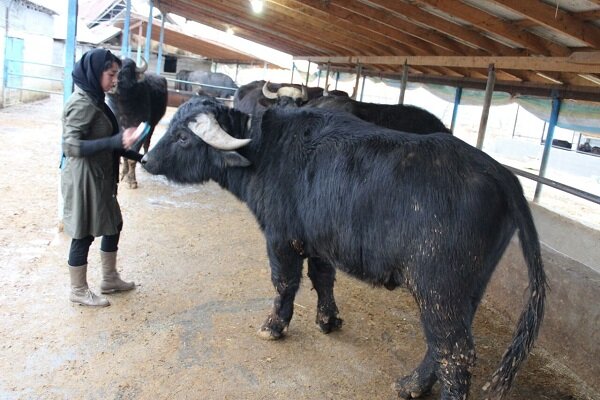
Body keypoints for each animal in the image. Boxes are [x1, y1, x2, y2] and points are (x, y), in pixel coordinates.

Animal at [106, 57, 168, 189]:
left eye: (126, 70)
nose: (113, 84)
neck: (124, 110)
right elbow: (124, 154)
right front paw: (123, 174)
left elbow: (132, 157)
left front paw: (132, 181)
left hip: (152, 125)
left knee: (147, 143)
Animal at [143, 97, 548, 400]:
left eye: (182, 136)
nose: (146, 160)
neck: (266, 150)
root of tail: (502, 174)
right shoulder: (320, 243)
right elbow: (323, 279)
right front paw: (328, 320)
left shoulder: (280, 238)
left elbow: (284, 284)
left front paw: (274, 326)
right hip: (465, 290)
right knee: (442, 348)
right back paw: (412, 385)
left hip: (439, 288)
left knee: (456, 354)